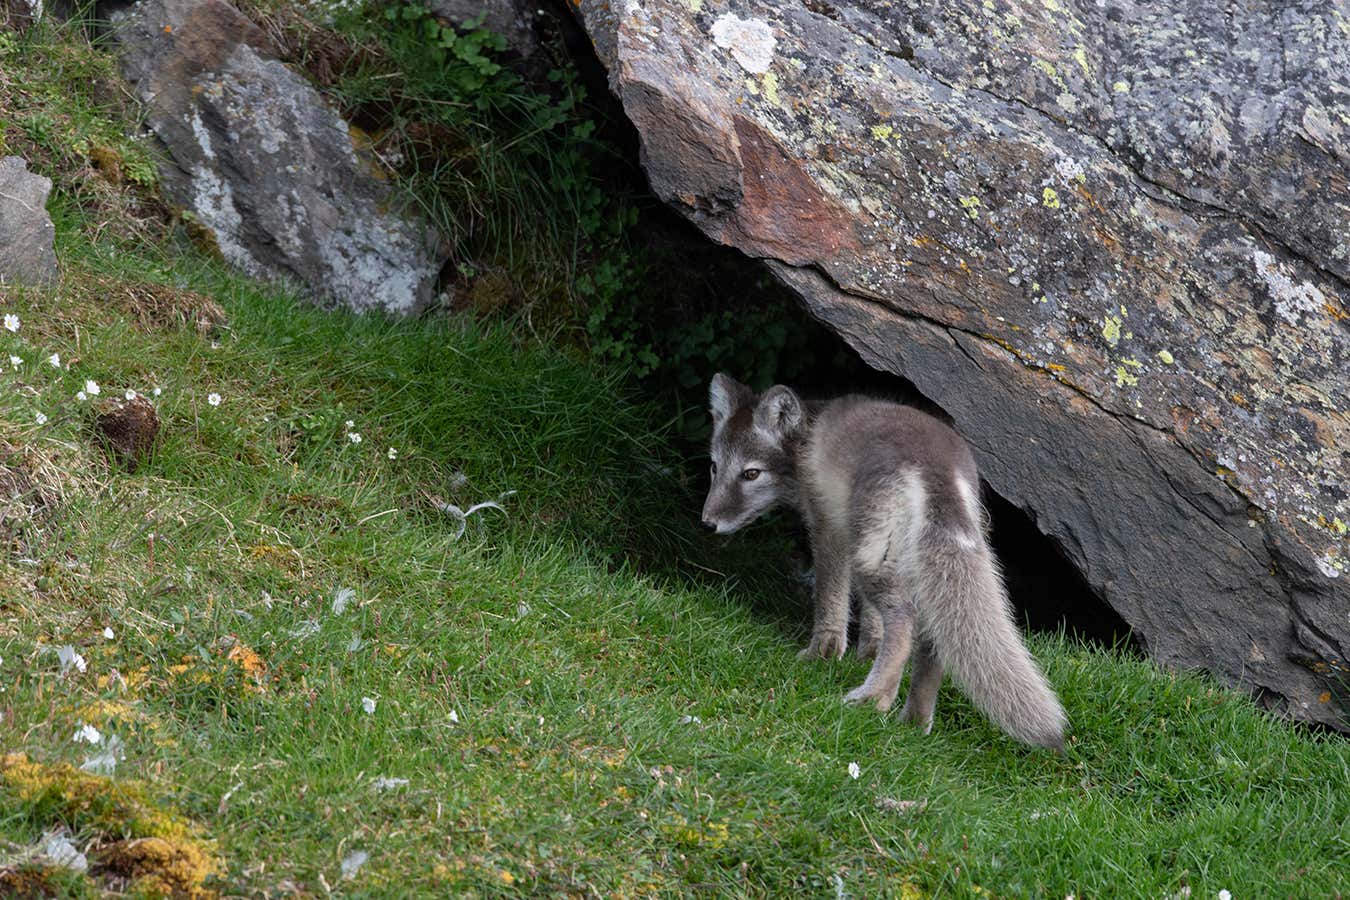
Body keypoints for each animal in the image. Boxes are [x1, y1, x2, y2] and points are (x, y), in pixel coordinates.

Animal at [700, 373, 1067, 751]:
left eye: (751, 474)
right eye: (714, 466)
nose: (708, 522)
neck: (807, 436)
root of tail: (935, 465)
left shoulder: (830, 528)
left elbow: (831, 599)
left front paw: (823, 654)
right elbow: (871, 618)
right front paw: (867, 652)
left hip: (874, 560)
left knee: (905, 620)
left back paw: (873, 698)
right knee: (932, 639)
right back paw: (913, 722)